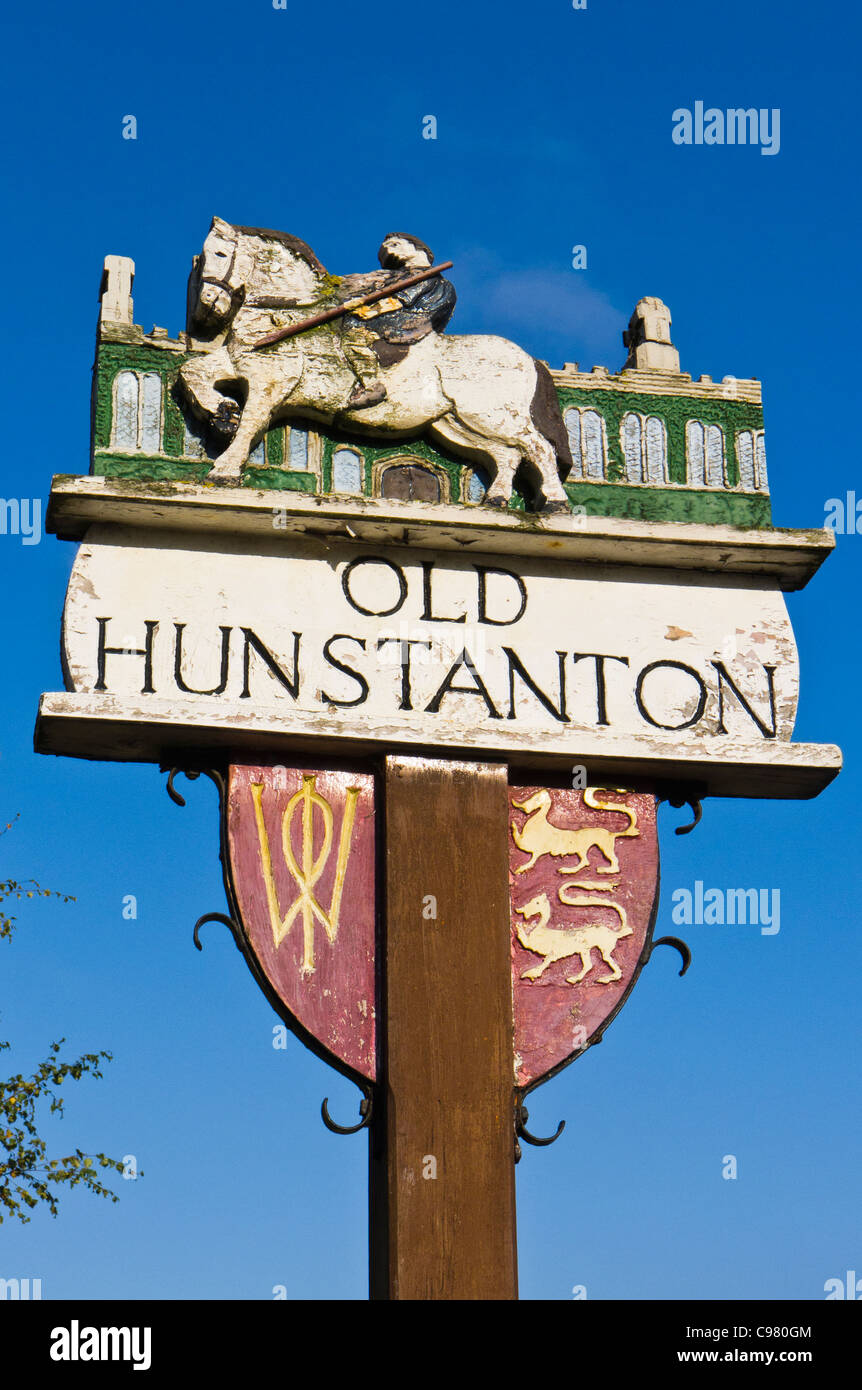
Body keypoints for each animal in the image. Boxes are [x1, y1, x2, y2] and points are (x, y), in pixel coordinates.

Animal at [177, 219, 572, 514]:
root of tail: (529, 360)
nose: (209, 305)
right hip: (455, 422)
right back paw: (497, 500)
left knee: (538, 447)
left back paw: (555, 503)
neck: (288, 316)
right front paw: (221, 414)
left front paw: (224, 470)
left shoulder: (271, 383)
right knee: (507, 455)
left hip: (491, 414)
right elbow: (192, 373)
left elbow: (252, 423)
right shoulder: (239, 363)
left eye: (220, 253)